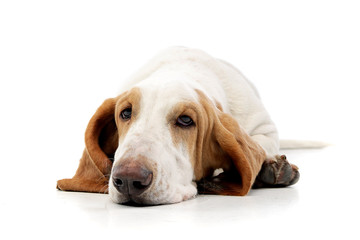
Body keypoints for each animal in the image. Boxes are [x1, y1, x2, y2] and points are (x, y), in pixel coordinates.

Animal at [56, 47, 300, 205]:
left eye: (186, 120)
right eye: (125, 113)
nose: (128, 179)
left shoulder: (264, 127)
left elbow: (263, 144)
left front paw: (270, 167)